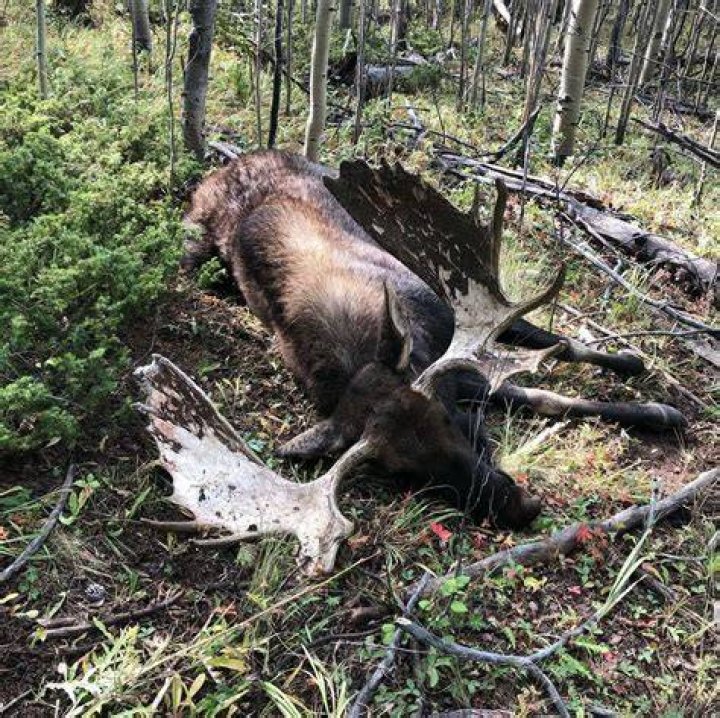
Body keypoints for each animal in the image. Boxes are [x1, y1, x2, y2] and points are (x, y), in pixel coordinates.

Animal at [154, 150, 683, 548]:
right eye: (404, 473)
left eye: (452, 421)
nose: (518, 506)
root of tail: (227, 166)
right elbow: (541, 394)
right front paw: (656, 408)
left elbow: (557, 352)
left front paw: (644, 383)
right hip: (196, 247)